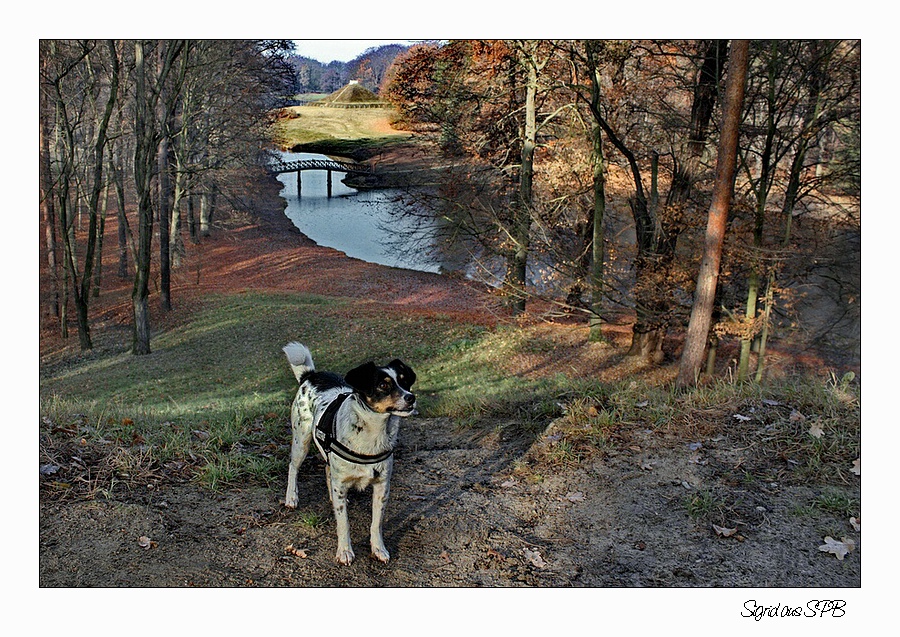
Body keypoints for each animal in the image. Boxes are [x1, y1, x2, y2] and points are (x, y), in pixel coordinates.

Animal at [284, 340, 416, 564]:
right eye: (383, 385)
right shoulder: (343, 483)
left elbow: (376, 523)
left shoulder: (382, 486)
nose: (411, 397)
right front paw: (344, 551)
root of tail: (311, 375)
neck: (373, 433)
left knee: (328, 470)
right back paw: (291, 497)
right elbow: (343, 523)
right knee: (293, 467)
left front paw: (378, 548)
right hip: (301, 440)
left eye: (404, 381)